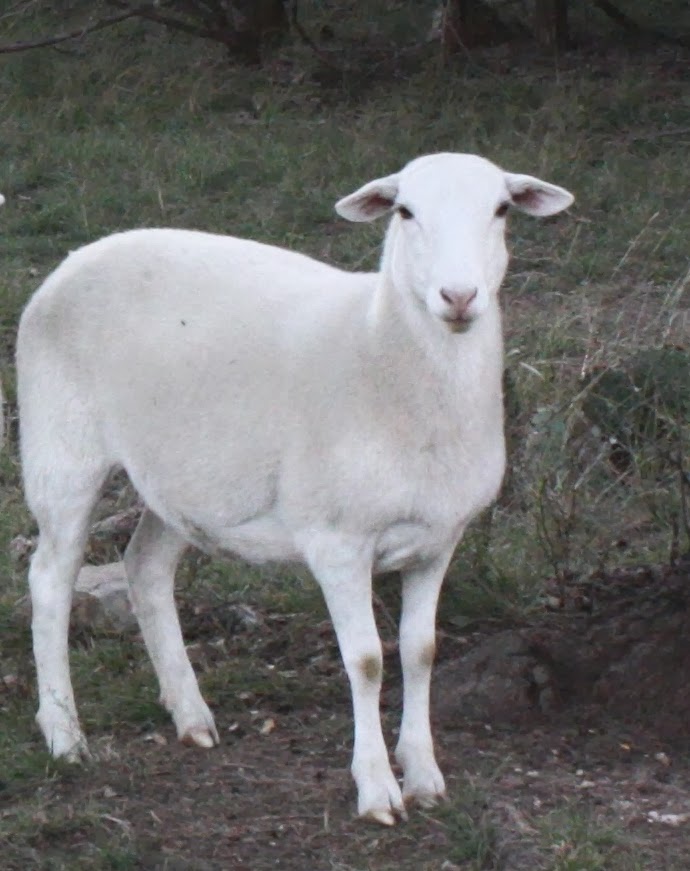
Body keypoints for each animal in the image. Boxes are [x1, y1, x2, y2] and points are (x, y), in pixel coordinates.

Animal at [17, 152, 573, 825]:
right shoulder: (337, 539)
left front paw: (424, 775)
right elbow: (367, 660)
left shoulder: (439, 539)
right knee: (50, 580)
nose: (459, 296)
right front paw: (377, 790)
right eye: (404, 211)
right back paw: (65, 734)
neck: (381, 351)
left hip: (185, 481)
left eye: (501, 209)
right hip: (61, 450)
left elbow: (421, 651)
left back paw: (190, 715)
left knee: (144, 566)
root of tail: (72, 261)